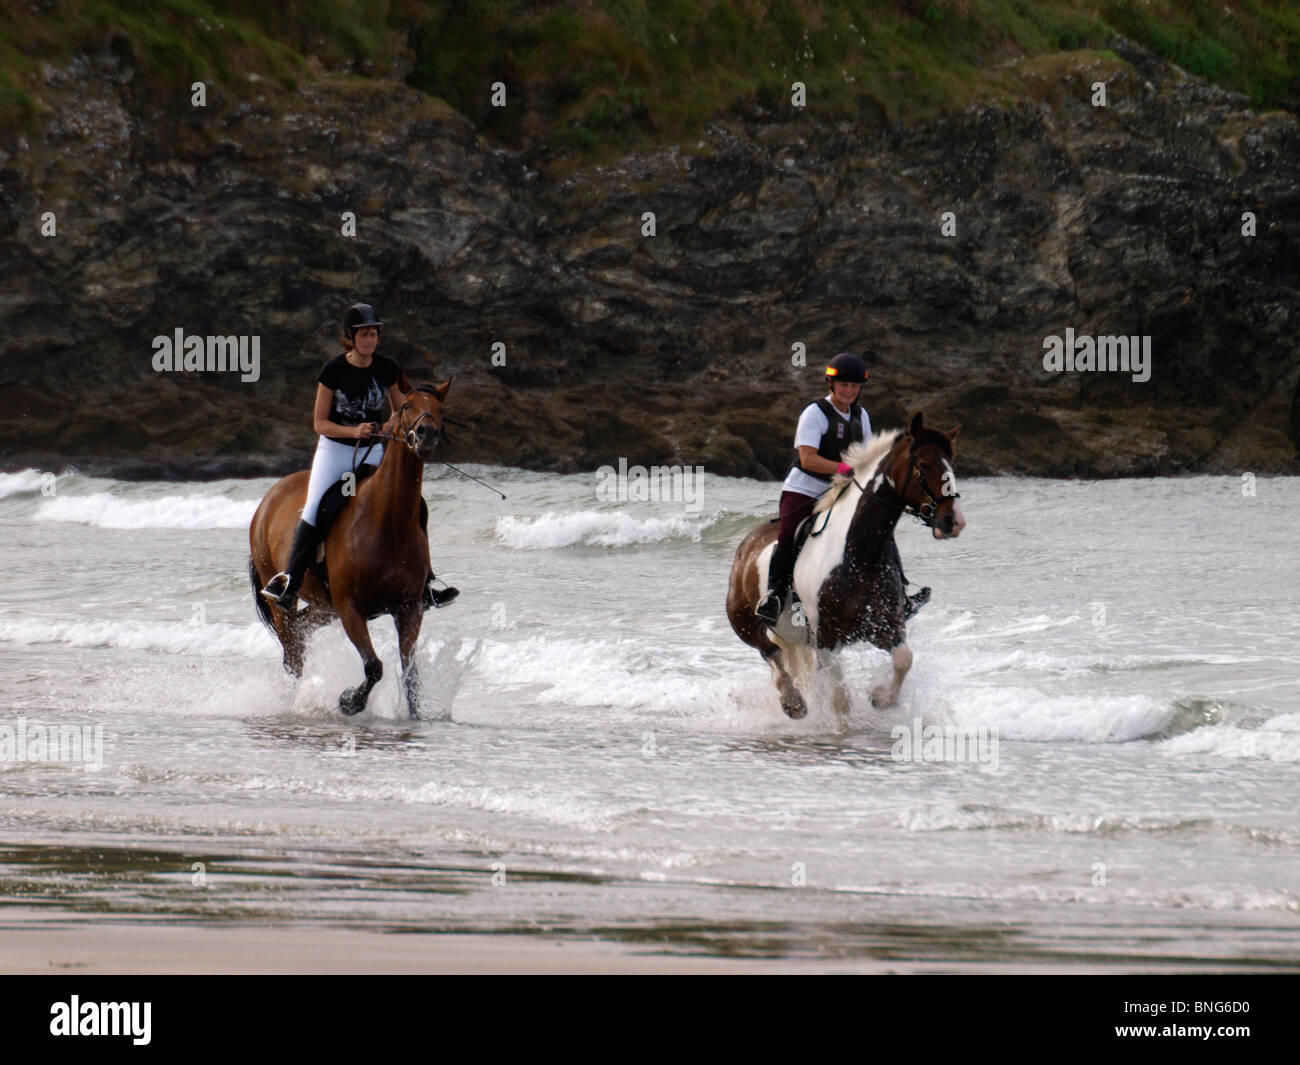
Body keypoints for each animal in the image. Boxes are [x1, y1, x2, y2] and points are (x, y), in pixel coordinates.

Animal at [248, 379, 452, 723]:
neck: (387, 523)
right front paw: (348, 702)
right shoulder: (350, 608)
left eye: (440, 409)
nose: (428, 434)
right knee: (293, 654)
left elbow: (410, 673)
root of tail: (268, 499)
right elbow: (374, 666)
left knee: (302, 632)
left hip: (324, 606)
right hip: (283, 599)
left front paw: (415, 717)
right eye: (406, 406)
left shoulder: (410, 609)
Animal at [733, 413, 967, 723]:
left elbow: (904, 660)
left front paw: (881, 698)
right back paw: (793, 701)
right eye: (925, 465)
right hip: (744, 622)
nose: (954, 522)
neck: (860, 554)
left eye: (951, 466)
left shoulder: (885, 627)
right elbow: (840, 701)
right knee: (770, 652)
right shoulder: (827, 640)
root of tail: (747, 544)